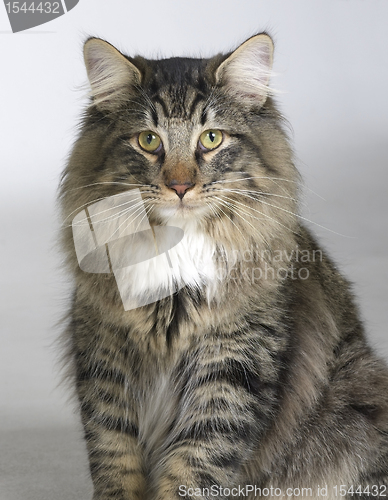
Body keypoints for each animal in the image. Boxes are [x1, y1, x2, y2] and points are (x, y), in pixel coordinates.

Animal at [58, 33, 388, 498]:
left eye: (211, 138)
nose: (180, 186)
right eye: (148, 140)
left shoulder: (233, 368)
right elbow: (114, 459)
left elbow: (193, 469)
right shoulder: (104, 361)